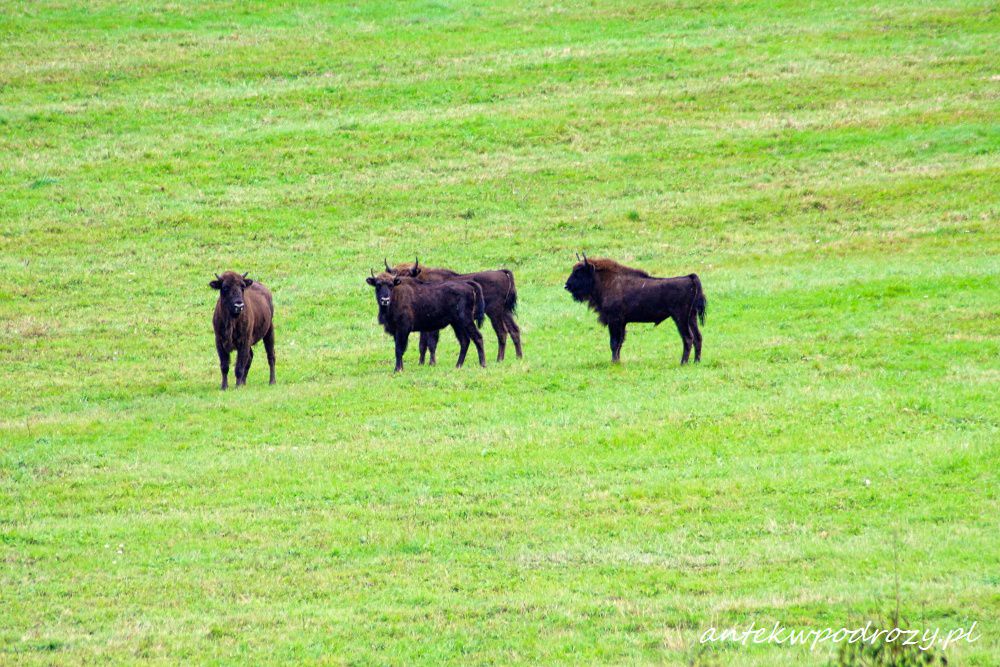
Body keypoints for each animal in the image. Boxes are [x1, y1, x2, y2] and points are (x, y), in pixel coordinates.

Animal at [384, 260, 524, 366]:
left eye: (409, 275)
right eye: (397, 276)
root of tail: (501, 272)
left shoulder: (432, 326)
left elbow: (431, 343)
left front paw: (431, 363)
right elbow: (422, 344)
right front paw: (421, 363)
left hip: (494, 313)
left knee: (502, 332)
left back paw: (499, 359)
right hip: (505, 312)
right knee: (514, 330)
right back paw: (518, 357)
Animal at [568, 254, 708, 366]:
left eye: (579, 271)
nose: (566, 285)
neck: (608, 280)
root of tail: (689, 277)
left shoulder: (614, 320)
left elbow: (614, 342)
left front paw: (614, 362)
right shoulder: (622, 323)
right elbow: (620, 343)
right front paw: (617, 361)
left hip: (680, 318)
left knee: (688, 338)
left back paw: (683, 362)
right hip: (692, 317)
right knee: (698, 337)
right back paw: (696, 362)